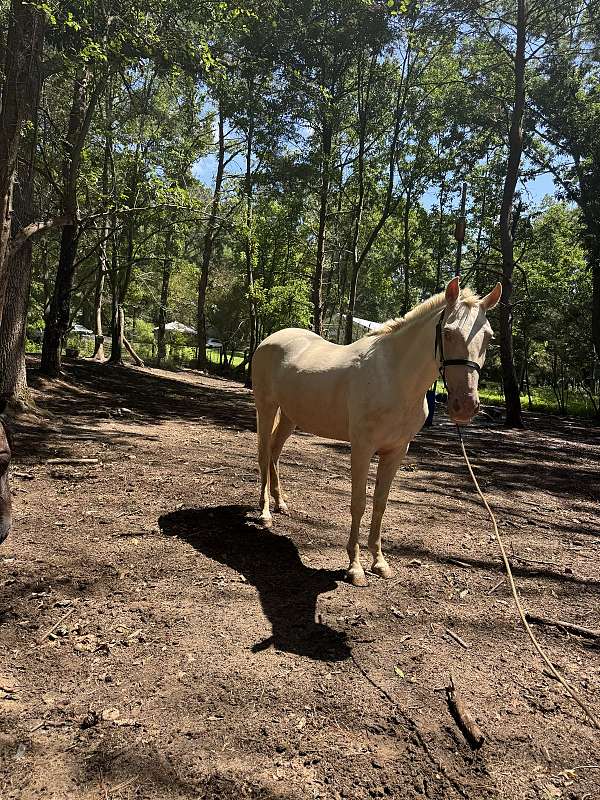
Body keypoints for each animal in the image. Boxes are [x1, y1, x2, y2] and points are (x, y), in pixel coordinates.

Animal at [251, 277, 501, 586]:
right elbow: (358, 502)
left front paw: (379, 562)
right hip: (266, 408)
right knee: (264, 455)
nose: (464, 406)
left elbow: (380, 503)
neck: (394, 378)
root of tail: (270, 339)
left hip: (289, 416)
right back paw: (265, 514)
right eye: (447, 332)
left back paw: (281, 504)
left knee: (274, 452)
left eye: (489, 337)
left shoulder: (396, 451)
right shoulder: (362, 448)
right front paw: (355, 567)